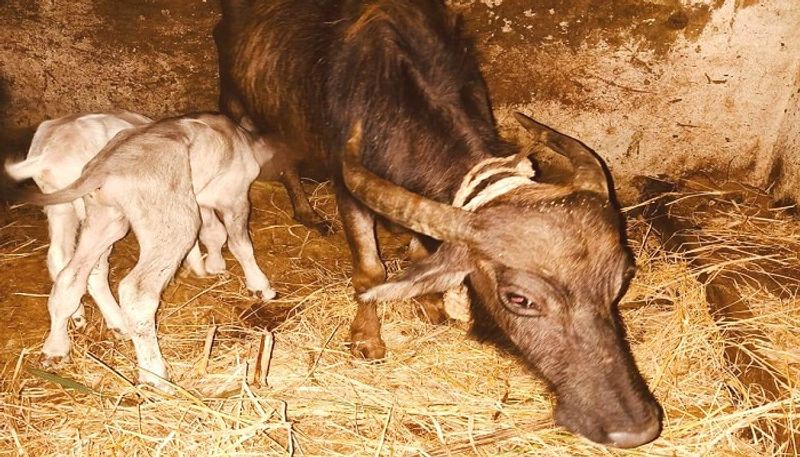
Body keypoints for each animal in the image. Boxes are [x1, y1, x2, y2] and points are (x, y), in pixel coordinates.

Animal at [4, 110, 152, 332]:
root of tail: (49, 154)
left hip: (60, 205)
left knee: (58, 254)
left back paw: (78, 315)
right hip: (103, 215)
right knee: (92, 271)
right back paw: (119, 323)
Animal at [22, 112, 278, 390]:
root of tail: (105, 166)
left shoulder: (202, 199)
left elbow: (213, 233)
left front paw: (212, 267)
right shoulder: (234, 196)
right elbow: (239, 244)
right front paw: (259, 286)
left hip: (104, 218)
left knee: (70, 274)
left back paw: (56, 349)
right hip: (173, 222)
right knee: (135, 291)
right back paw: (154, 375)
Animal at [217, 0, 664, 448]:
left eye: (623, 277)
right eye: (519, 299)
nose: (634, 428)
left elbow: (420, 249)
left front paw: (430, 303)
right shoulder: (348, 191)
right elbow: (370, 271)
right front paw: (367, 338)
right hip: (236, 100)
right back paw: (306, 210)